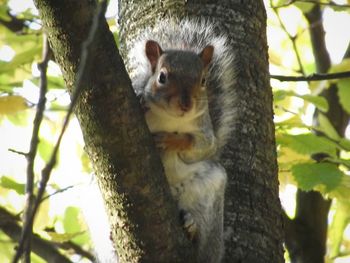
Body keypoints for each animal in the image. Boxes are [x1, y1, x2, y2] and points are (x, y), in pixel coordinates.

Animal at [129, 19, 235, 263]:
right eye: (162, 77)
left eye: (203, 80)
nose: (186, 104)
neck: (170, 118)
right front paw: (140, 98)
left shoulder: (206, 134)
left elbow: (199, 147)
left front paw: (170, 139)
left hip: (209, 191)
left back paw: (192, 230)